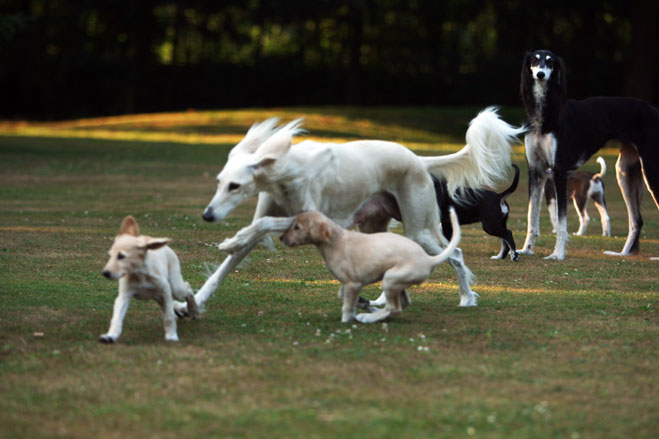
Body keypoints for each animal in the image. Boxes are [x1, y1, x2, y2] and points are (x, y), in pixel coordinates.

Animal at [282, 208, 462, 324]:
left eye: (297, 227)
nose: (281, 238)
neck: (335, 240)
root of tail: (428, 259)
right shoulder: (346, 283)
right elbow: (342, 296)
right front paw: (361, 303)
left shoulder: (352, 284)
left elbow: (347, 307)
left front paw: (347, 320)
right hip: (396, 281)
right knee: (402, 304)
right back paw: (373, 312)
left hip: (390, 279)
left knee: (394, 308)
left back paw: (367, 318)